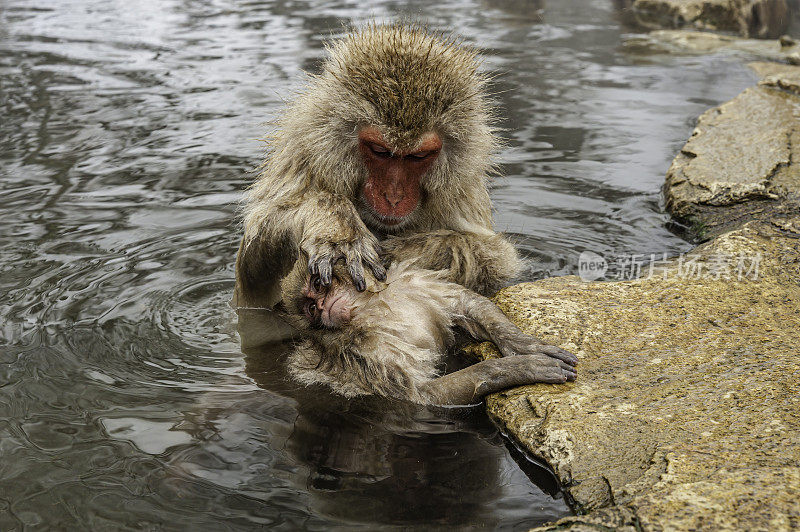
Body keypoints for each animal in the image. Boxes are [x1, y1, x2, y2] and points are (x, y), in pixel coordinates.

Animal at [282, 260, 576, 406]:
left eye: (318, 285)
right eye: (310, 308)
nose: (322, 307)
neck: (367, 309)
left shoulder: (412, 281)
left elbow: (462, 302)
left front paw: (524, 346)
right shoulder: (363, 354)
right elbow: (424, 395)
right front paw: (518, 368)